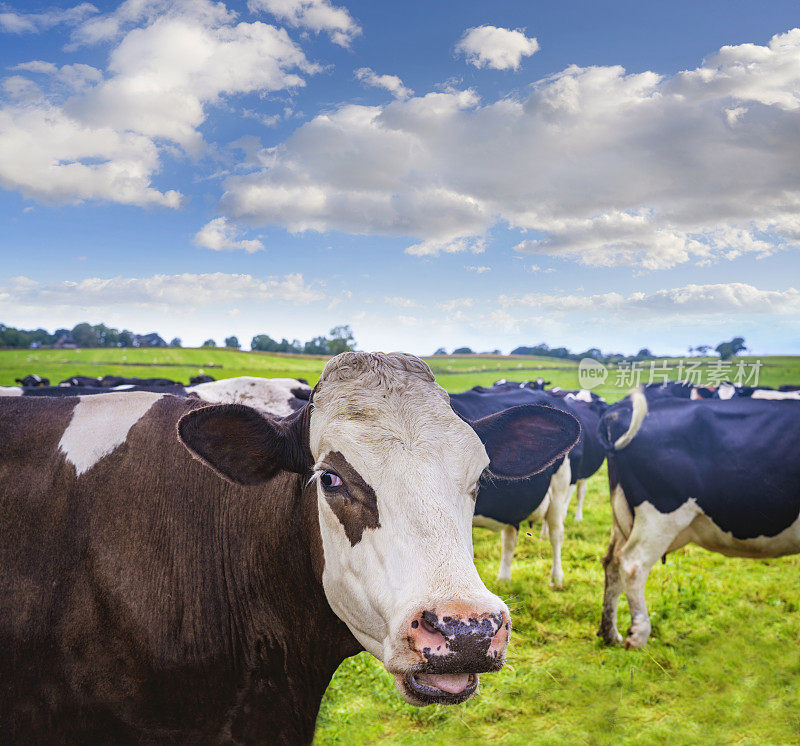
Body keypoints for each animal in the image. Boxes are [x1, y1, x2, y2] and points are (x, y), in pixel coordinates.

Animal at [596, 390, 800, 644]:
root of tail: (618, 411)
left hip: (623, 513)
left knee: (611, 562)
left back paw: (610, 634)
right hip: (660, 515)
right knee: (633, 564)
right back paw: (638, 636)